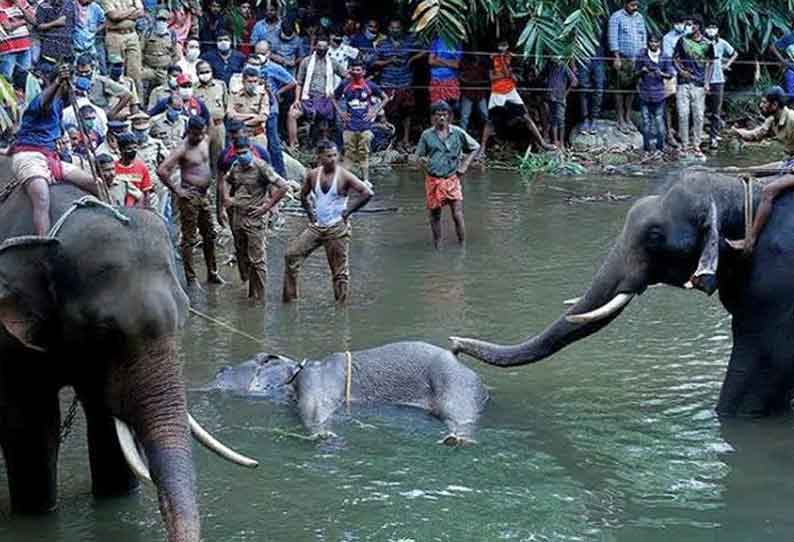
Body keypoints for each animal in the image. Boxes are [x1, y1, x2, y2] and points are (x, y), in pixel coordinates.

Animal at [0, 183, 255, 542]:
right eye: (103, 330)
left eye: (185, 314)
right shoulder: (9, 342)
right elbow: (33, 426)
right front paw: (37, 514)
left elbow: (107, 424)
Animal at [203, 342, 488, 444]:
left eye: (224, 370)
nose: (219, 370)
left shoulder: (316, 383)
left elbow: (315, 410)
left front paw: (323, 435)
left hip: (455, 386)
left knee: (460, 416)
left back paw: (455, 439)